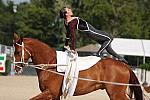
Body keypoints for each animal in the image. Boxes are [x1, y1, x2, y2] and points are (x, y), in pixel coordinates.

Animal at [13, 34, 143, 99]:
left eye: (18, 52)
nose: (16, 68)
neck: (51, 63)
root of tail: (125, 66)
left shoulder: (50, 92)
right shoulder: (55, 95)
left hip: (116, 93)